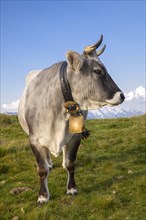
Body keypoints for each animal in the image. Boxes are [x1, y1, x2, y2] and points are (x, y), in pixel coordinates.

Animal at [18, 34, 124, 205]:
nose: (122, 95)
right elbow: (42, 169)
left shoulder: (75, 135)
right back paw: (49, 163)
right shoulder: (34, 139)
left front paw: (72, 188)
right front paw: (43, 196)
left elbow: (70, 163)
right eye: (98, 71)